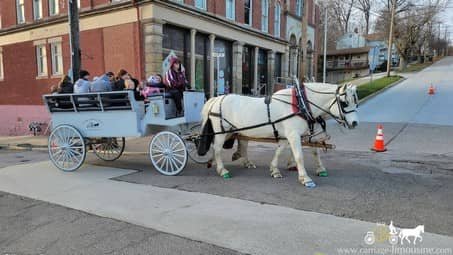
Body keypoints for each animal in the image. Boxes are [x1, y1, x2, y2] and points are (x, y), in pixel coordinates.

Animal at [197, 83, 356, 187]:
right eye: (344, 103)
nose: (354, 123)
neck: (300, 104)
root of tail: (216, 99)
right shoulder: (293, 134)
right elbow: (299, 155)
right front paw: (305, 178)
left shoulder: (290, 135)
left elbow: (283, 150)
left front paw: (275, 169)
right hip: (222, 131)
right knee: (217, 149)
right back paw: (222, 170)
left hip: (235, 130)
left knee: (241, 145)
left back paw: (240, 162)